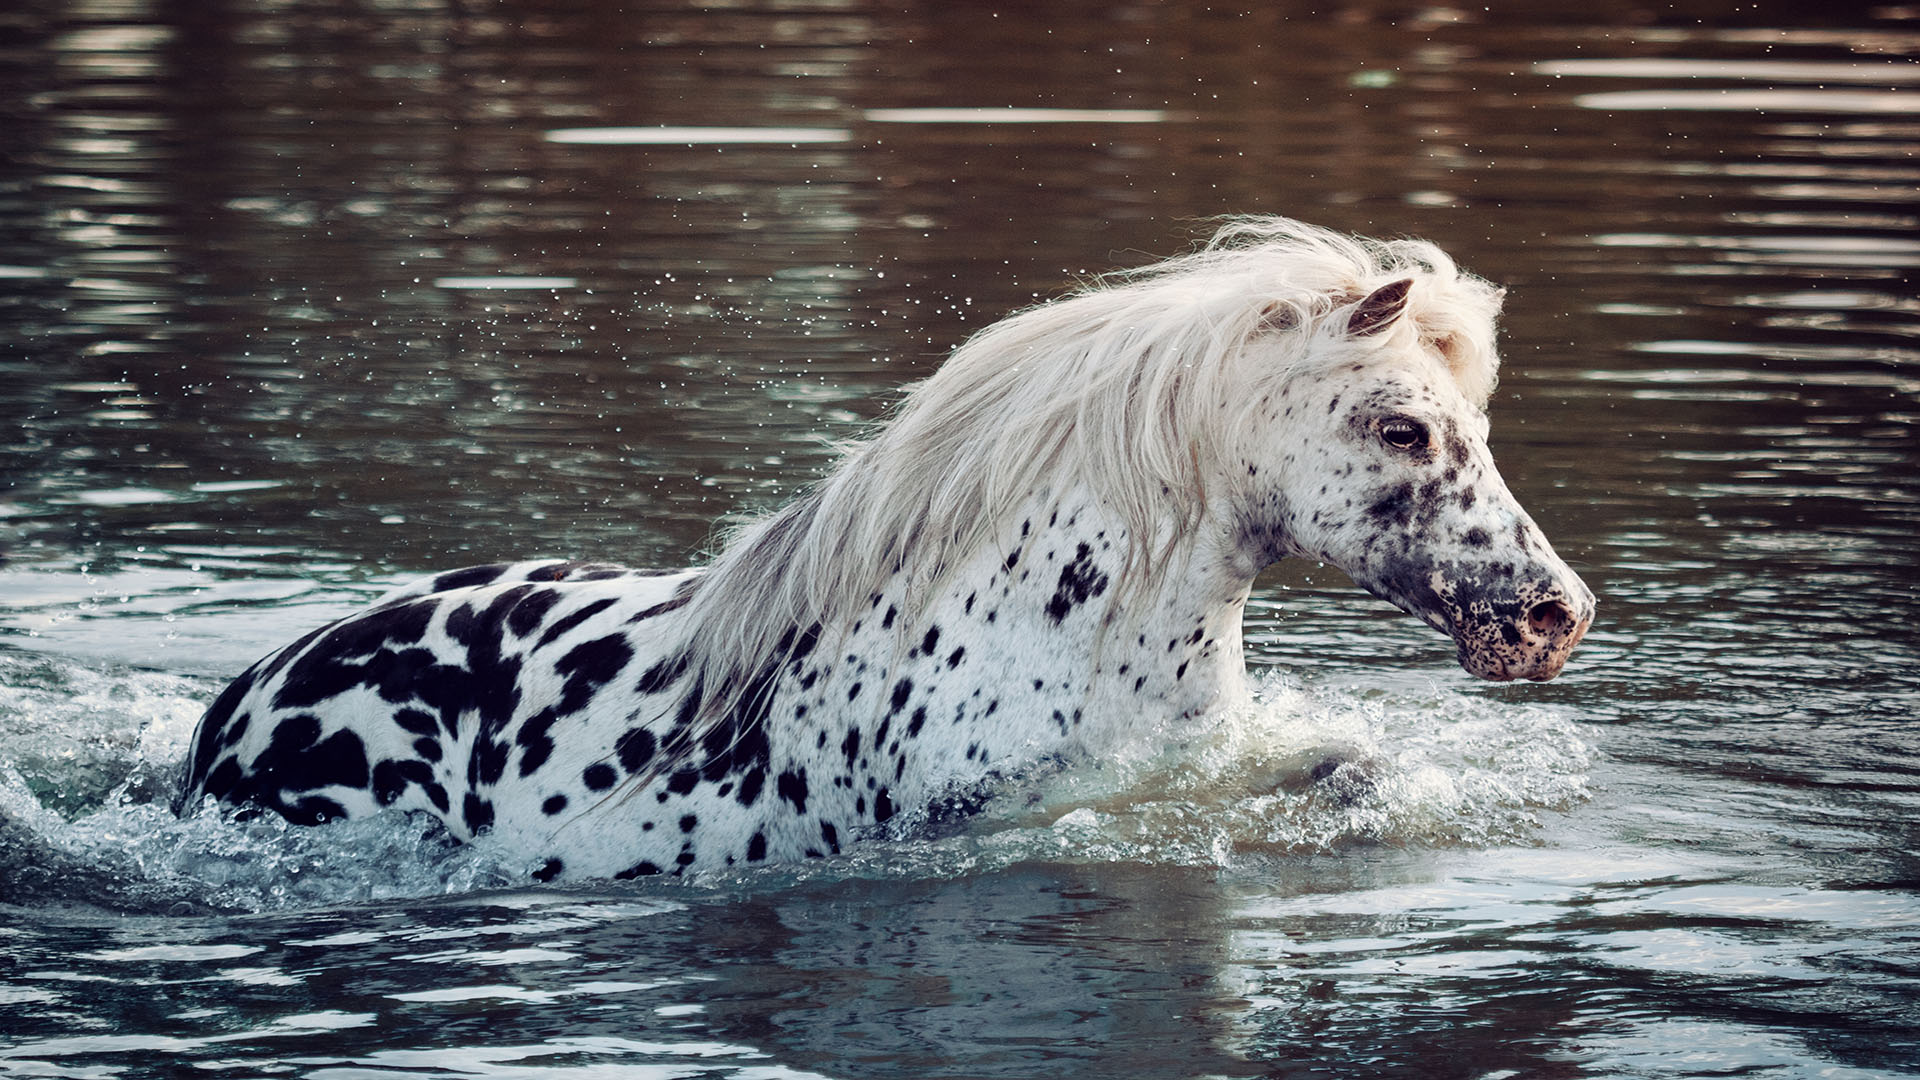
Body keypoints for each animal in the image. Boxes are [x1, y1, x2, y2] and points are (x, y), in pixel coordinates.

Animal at [176, 214, 1589, 880]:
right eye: (1404, 426)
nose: (1554, 615)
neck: (1035, 628)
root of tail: (239, 704)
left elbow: (1342, 763)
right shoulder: (994, 819)